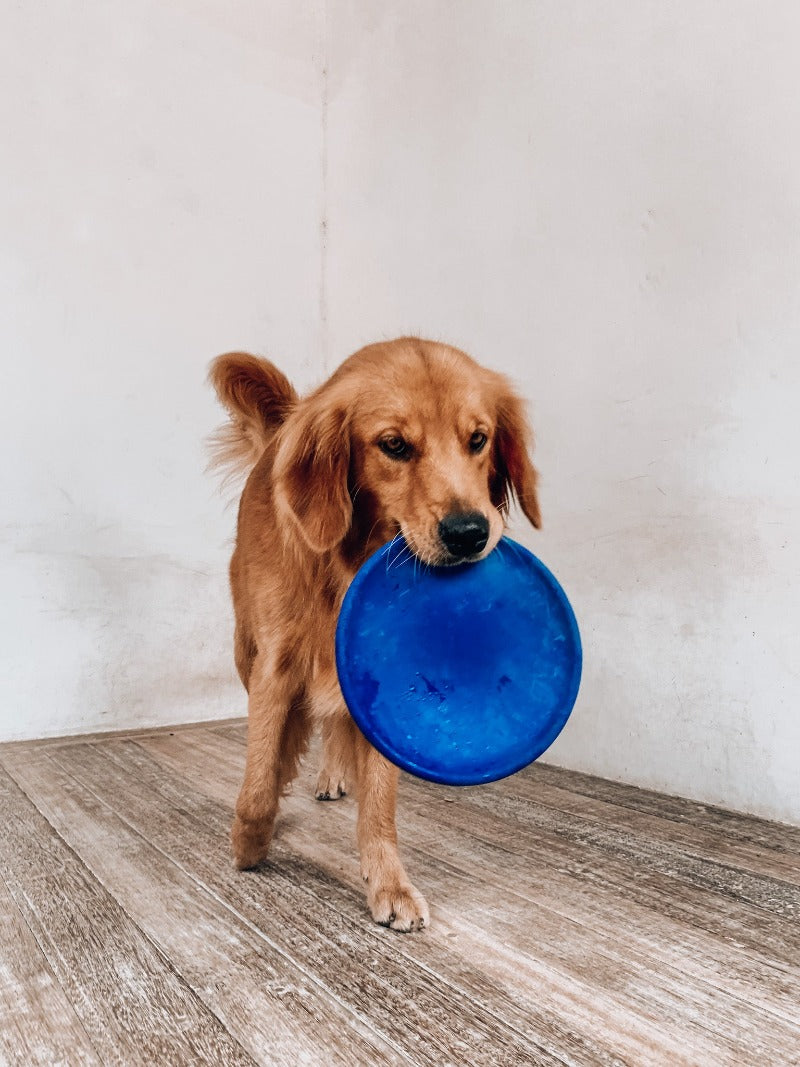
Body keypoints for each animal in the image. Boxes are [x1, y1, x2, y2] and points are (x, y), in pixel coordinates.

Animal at [210, 337, 541, 930]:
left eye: (478, 440)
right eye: (394, 445)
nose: (470, 533)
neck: (344, 564)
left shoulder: (380, 687)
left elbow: (380, 801)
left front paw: (389, 883)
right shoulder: (276, 664)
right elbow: (259, 778)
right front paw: (249, 842)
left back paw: (334, 774)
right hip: (244, 648)